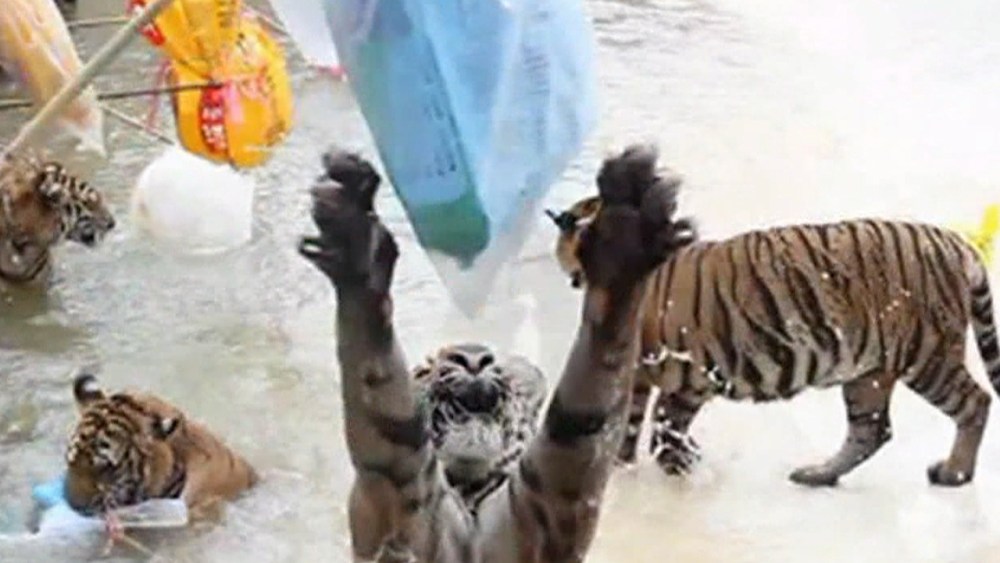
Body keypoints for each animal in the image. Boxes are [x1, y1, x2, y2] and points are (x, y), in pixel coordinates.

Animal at [297, 145, 679, 561]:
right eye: (428, 366)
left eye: (493, 361)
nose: (473, 356)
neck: (468, 488)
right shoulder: (399, 491)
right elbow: (390, 413)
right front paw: (358, 246)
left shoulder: (547, 498)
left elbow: (583, 413)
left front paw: (622, 238)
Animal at [548, 148, 1000, 488]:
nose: (565, 266)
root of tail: (958, 244)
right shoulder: (685, 377)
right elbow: (657, 422)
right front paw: (663, 462)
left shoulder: (667, 368)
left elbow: (647, 425)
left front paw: (654, 466)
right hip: (868, 372)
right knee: (871, 431)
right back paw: (817, 474)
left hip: (926, 356)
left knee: (975, 402)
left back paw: (954, 473)